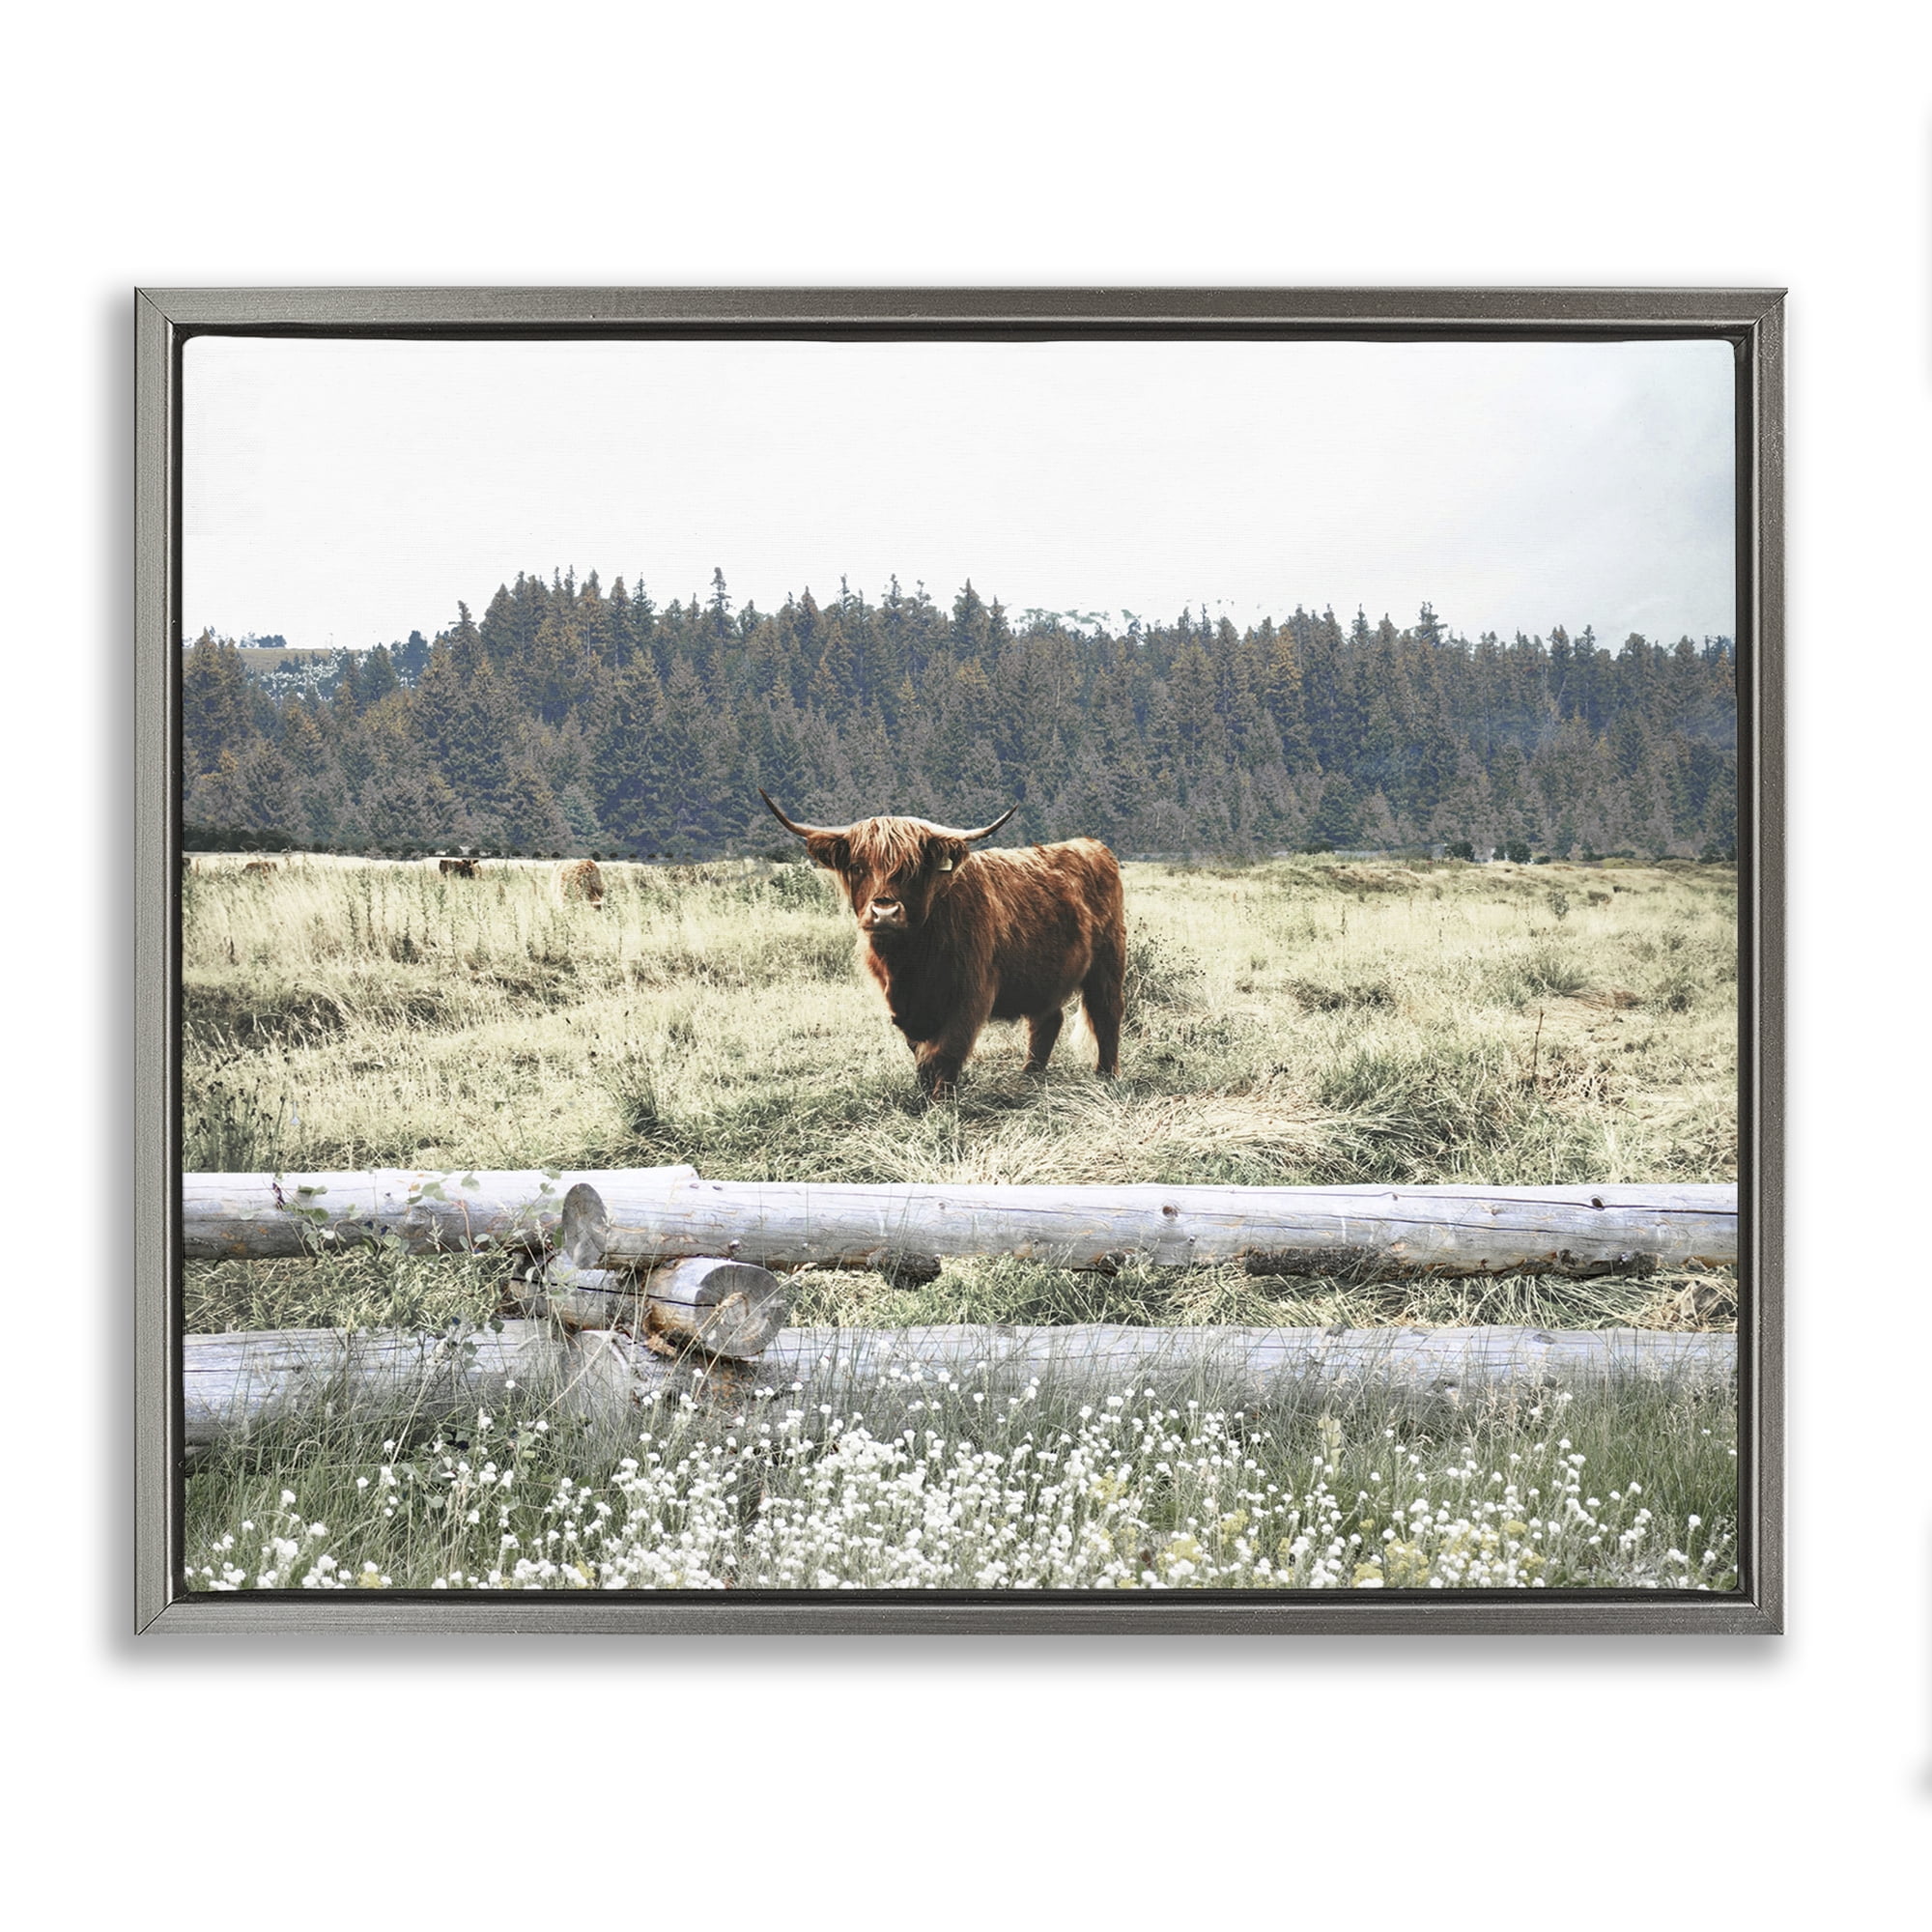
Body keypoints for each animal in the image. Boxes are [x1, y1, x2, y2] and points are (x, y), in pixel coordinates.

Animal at [760, 790, 1125, 1099]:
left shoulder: (970, 994)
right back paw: (1029, 1076)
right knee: (1046, 1020)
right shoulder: (904, 1005)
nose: (885, 912)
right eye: (857, 866)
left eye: (912, 869)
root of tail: (1092, 846)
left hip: (1108, 962)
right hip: (1043, 974)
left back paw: (1105, 1076)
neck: (910, 962)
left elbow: (946, 1051)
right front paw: (923, 1094)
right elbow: (920, 1052)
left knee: (1106, 1013)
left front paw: (941, 1102)